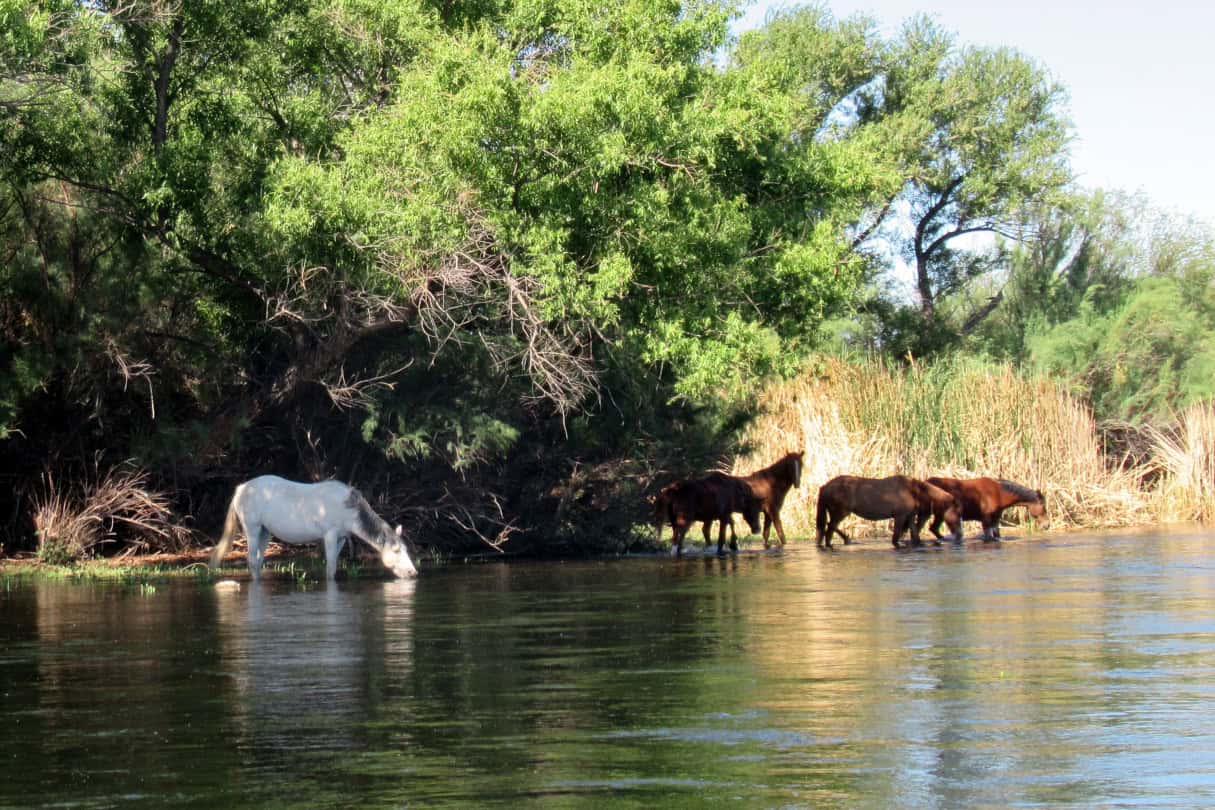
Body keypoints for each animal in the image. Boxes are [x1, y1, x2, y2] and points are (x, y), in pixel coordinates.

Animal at [208, 475, 418, 580]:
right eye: (396, 551)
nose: (412, 572)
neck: (348, 509)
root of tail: (241, 488)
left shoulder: (341, 538)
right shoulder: (331, 535)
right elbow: (331, 568)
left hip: (265, 532)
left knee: (258, 562)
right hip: (252, 529)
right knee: (252, 560)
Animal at [815, 474, 962, 549]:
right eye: (958, 513)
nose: (960, 535)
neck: (913, 491)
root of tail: (825, 487)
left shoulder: (909, 517)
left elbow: (915, 536)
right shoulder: (900, 516)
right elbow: (896, 537)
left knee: (829, 529)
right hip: (840, 512)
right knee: (830, 528)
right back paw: (843, 540)